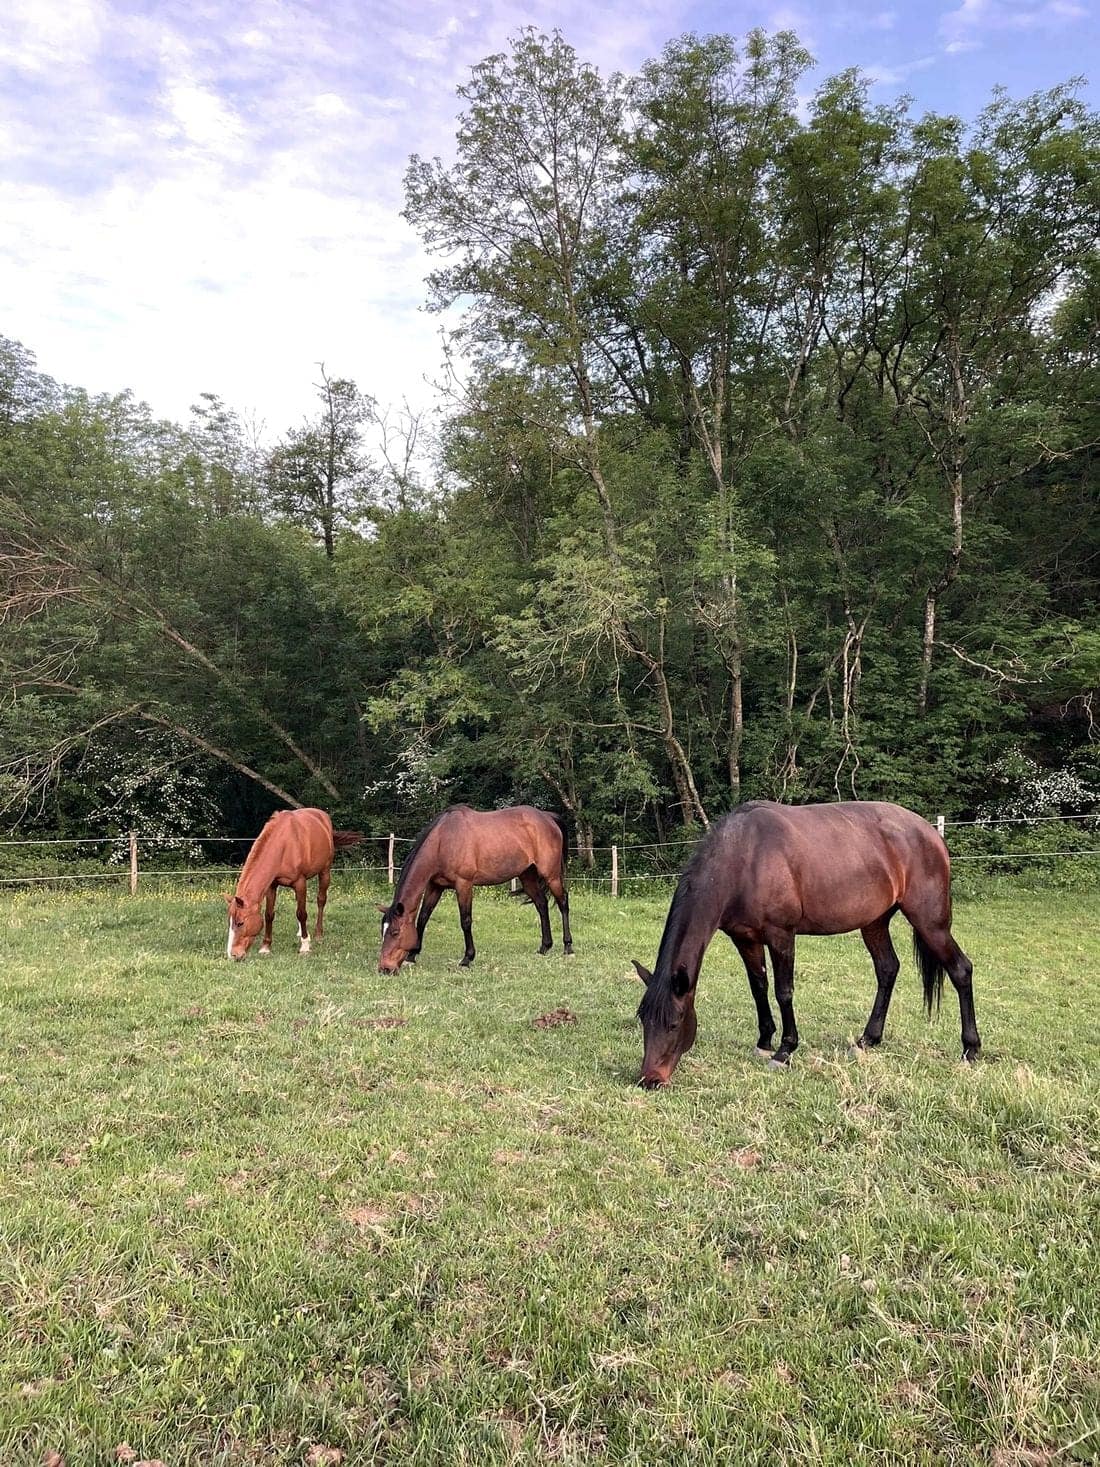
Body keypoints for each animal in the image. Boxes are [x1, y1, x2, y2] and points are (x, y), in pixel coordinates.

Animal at [224, 808, 361, 960]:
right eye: (229, 922)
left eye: (240, 923)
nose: (232, 954)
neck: (283, 845)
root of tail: (322, 815)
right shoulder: (272, 885)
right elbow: (269, 914)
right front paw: (266, 946)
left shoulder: (300, 883)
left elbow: (302, 913)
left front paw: (305, 946)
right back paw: (301, 931)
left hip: (325, 872)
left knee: (321, 901)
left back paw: (318, 934)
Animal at [377, 805, 572, 972]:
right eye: (383, 931)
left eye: (395, 932)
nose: (385, 968)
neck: (443, 840)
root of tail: (547, 817)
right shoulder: (435, 886)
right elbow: (423, 917)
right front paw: (412, 955)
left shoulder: (464, 884)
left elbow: (465, 921)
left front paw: (467, 958)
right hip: (528, 876)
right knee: (541, 904)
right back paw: (544, 947)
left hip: (551, 875)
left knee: (563, 903)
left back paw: (568, 946)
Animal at [633, 800, 979, 1088]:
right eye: (643, 1019)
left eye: (675, 1023)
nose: (650, 1080)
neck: (745, 857)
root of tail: (932, 835)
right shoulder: (745, 938)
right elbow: (758, 987)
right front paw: (764, 1041)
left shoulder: (781, 935)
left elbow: (783, 991)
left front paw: (784, 1051)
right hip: (875, 922)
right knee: (887, 969)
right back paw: (867, 1040)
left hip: (930, 922)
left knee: (961, 969)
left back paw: (970, 1050)